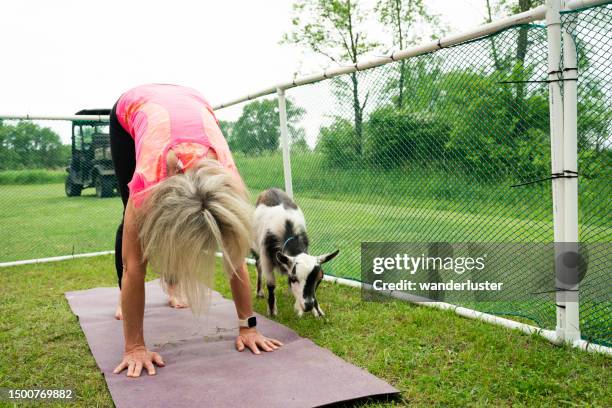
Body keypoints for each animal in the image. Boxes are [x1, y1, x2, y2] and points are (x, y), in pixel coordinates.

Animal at [252, 189, 340, 318]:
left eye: (320, 278)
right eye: (294, 278)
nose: (308, 306)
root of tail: (270, 190)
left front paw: (318, 311)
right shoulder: (266, 258)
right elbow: (271, 285)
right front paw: (272, 311)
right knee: (258, 266)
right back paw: (259, 292)